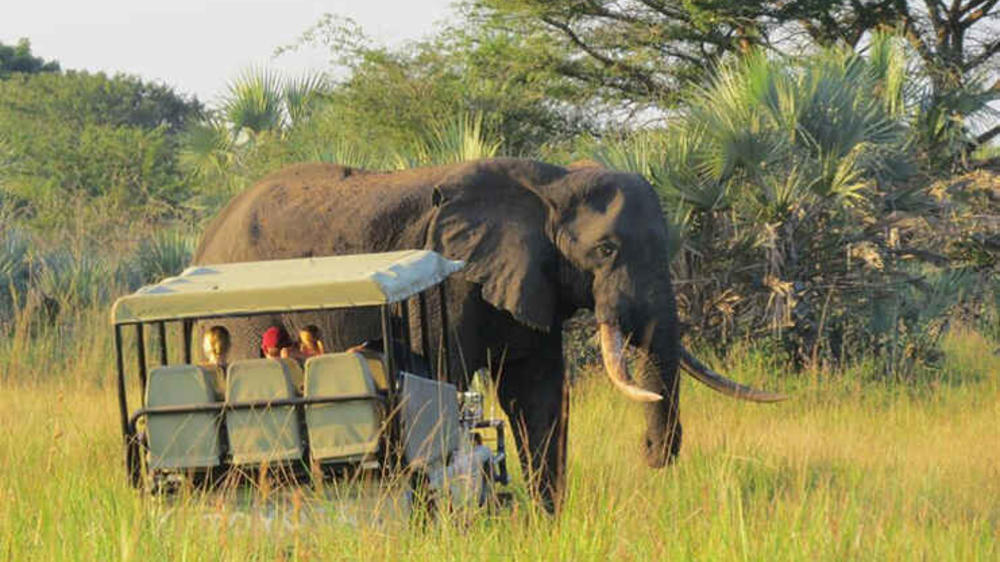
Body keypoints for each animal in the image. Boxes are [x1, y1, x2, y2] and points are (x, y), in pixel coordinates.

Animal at [193, 158, 784, 511]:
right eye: (606, 249)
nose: (650, 454)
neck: (551, 184)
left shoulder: (532, 279)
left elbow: (537, 394)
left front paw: (546, 525)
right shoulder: (453, 281)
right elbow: (444, 381)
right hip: (245, 322)